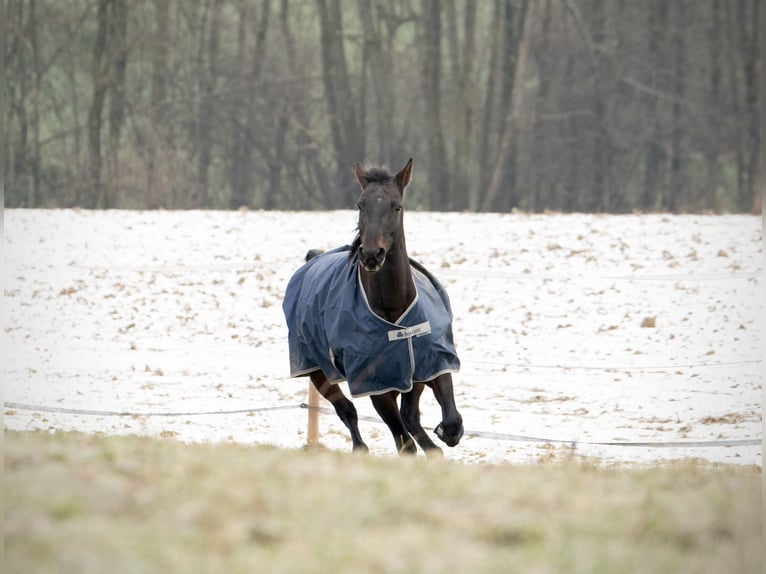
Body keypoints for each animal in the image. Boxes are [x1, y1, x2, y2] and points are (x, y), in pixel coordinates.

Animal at [282, 158, 464, 456]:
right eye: (360, 205)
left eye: (396, 206)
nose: (371, 255)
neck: (394, 310)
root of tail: (314, 258)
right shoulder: (377, 387)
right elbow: (404, 443)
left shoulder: (432, 365)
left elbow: (450, 422)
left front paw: (443, 435)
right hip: (317, 371)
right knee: (348, 411)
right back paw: (360, 447)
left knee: (410, 417)